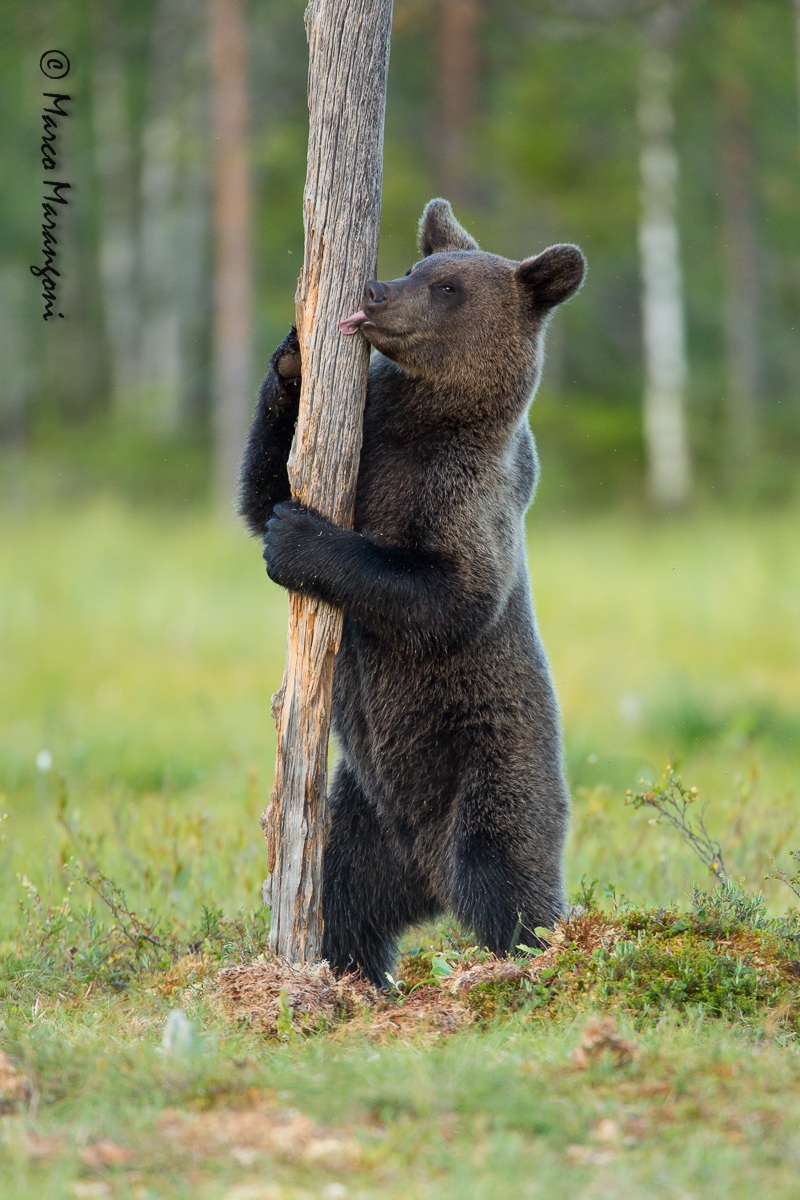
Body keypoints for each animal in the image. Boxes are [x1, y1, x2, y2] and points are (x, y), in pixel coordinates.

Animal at [239, 198, 586, 987]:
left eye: (447, 287)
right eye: (416, 264)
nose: (373, 290)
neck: (425, 422)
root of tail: (427, 874)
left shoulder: (463, 496)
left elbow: (446, 598)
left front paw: (297, 539)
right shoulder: (368, 450)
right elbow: (262, 487)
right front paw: (293, 359)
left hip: (491, 775)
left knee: (510, 885)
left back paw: (531, 961)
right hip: (364, 813)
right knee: (345, 897)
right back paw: (347, 973)